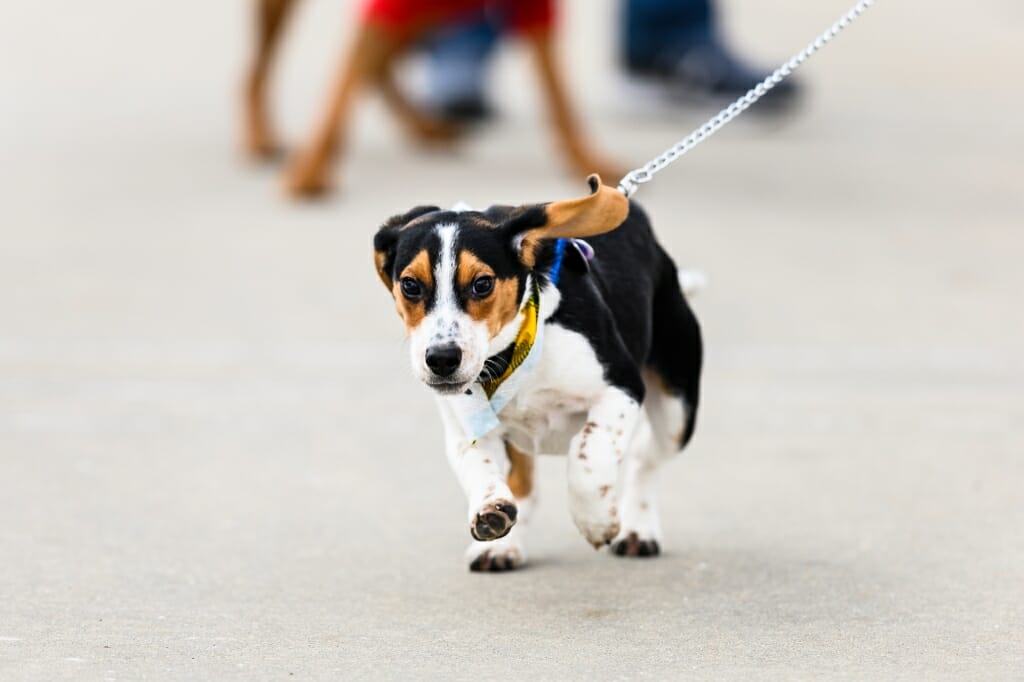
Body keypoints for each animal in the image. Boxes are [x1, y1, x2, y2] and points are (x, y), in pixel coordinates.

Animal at [376, 175, 704, 569]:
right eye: (410, 285)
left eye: (482, 284)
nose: (441, 359)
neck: (510, 356)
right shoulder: (465, 427)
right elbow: (480, 467)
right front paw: (491, 510)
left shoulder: (621, 387)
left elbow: (588, 455)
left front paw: (596, 520)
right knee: (524, 482)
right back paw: (502, 546)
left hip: (676, 412)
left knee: (644, 455)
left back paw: (637, 529)